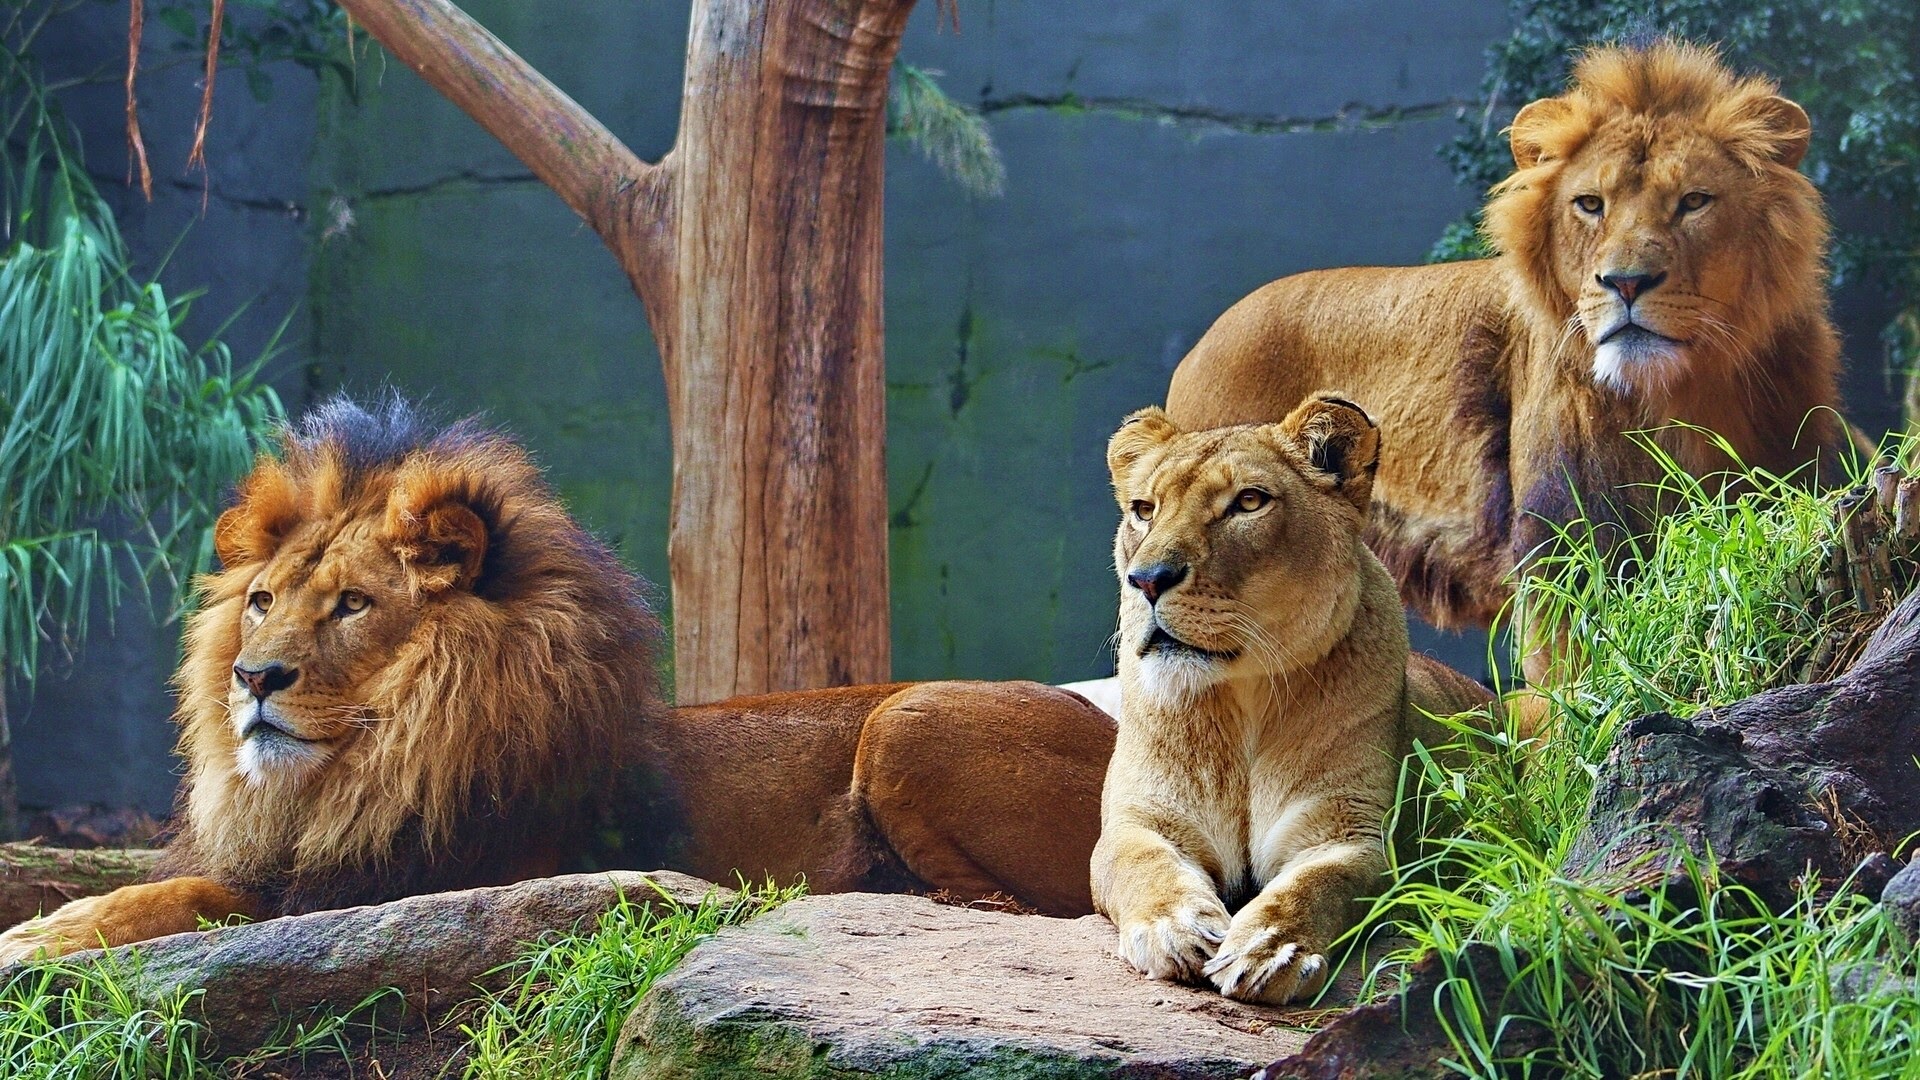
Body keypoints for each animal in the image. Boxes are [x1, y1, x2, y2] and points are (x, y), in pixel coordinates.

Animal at [0, 396, 1114, 962]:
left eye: (353, 604)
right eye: (263, 599)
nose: (251, 676)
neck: (359, 769)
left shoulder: (425, 876)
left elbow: (190, 897)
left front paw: (38, 940)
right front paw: (45, 924)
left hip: (909, 716)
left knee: (1027, 906)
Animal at [1092, 396, 1494, 1004]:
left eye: (1248, 502)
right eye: (1144, 509)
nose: (1147, 580)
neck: (1240, 700)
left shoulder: (1348, 831)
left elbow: (1315, 884)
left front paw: (1269, 950)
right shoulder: (1141, 819)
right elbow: (1142, 863)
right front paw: (1174, 928)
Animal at [1163, 40, 1856, 680]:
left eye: (1693, 201)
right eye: (1590, 204)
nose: (1626, 282)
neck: (1679, 398)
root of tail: (1199, 347)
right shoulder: (1562, 549)